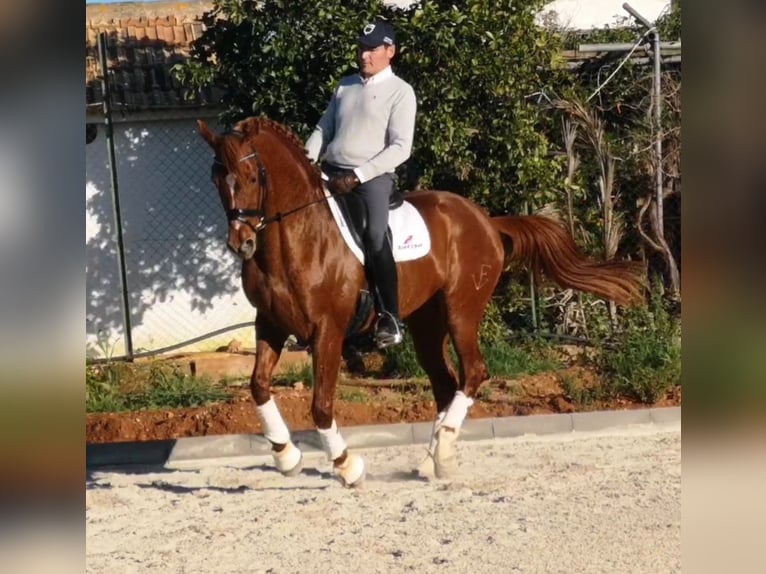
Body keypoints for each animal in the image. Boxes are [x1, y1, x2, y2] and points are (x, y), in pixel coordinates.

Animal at [195, 119, 644, 488]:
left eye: (251, 176)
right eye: (216, 179)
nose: (241, 243)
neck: (297, 238)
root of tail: (486, 220)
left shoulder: (328, 330)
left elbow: (321, 406)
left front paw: (347, 466)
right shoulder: (269, 324)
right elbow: (258, 386)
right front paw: (286, 456)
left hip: (461, 311)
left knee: (473, 372)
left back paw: (442, 452)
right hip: (427, 323)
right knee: (446, 385)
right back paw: (432, 460)